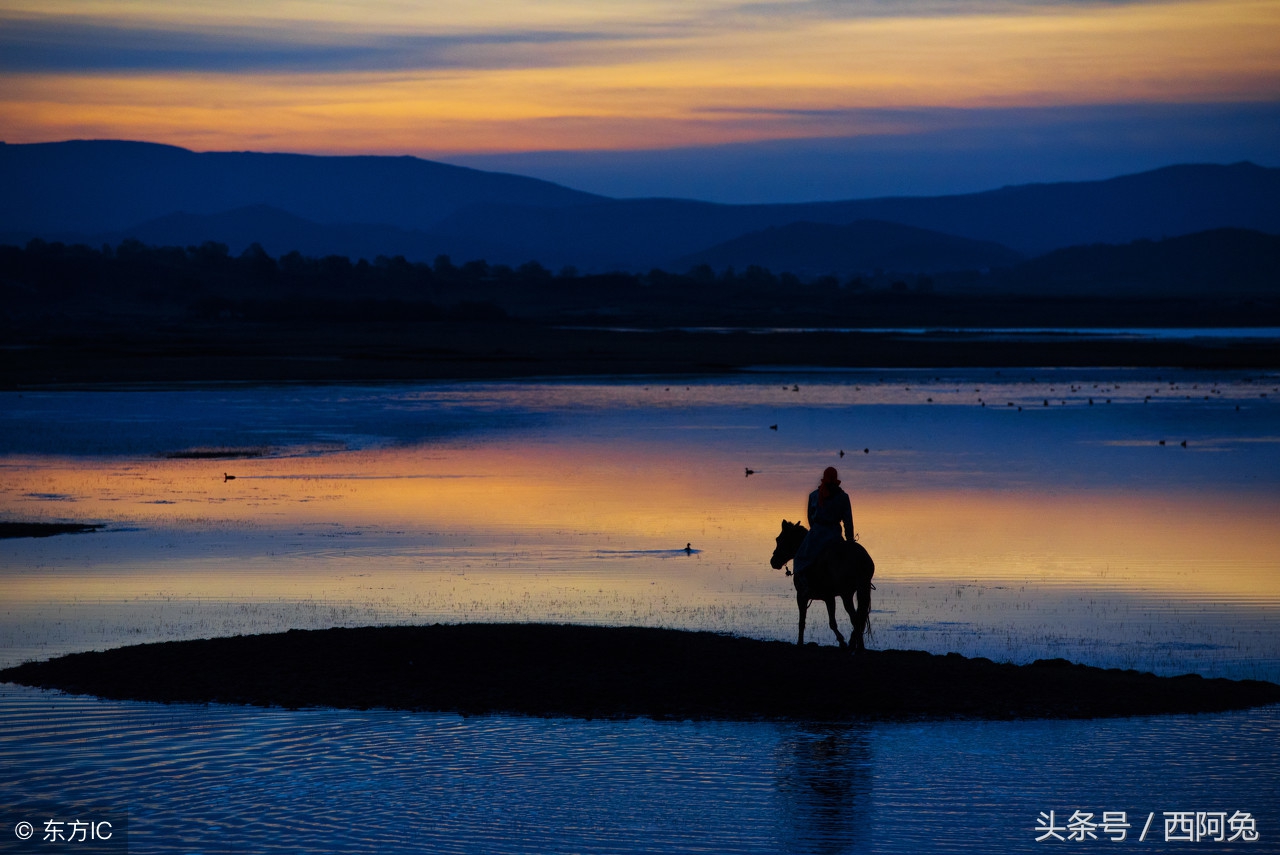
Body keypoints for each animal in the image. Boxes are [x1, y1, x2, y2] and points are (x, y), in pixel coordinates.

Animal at [762, 517, 875, 650]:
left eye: (779, 539)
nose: (773, 562)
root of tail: (860, 558)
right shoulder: (828, 597)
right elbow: (832, 622)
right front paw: (842, 642)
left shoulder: (802, 595)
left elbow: (804, 622)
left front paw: (800, 643)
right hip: (861, 588)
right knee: (859, 618)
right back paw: (857, 645)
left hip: (846, 594)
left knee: (856, 619)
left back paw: (856, 645)